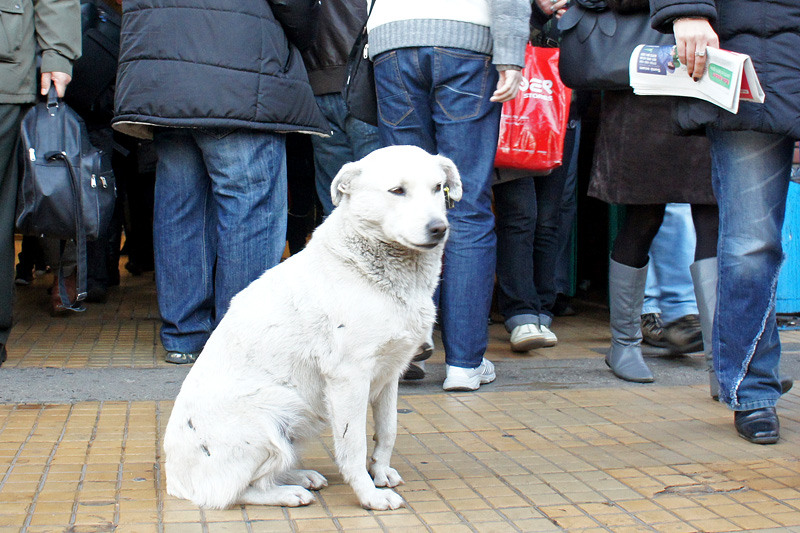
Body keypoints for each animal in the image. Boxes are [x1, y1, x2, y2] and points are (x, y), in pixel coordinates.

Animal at [163, 145, 462, 510]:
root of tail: (176, 481)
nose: (439, 228)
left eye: (438, 188)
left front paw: (381, 473)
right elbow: (352, 447)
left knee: (267, 472)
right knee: (236, 491)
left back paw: (300, 476)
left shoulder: (390, 374)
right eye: (397, 190)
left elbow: (388, 431)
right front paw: (369, 495)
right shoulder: (348, 378)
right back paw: (288, 492)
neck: (367, 269)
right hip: (274, 412)